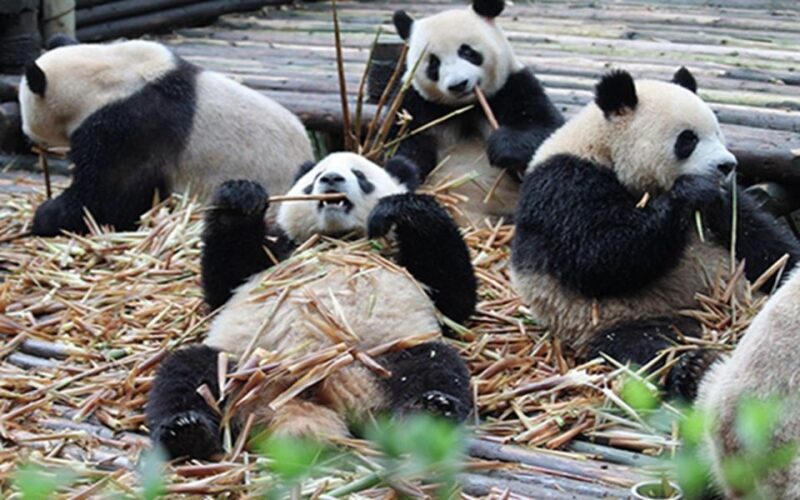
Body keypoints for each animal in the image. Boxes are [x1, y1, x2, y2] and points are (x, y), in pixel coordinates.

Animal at [146, 152, 477, 460]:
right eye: (314, 178)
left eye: (360, 175)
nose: (331, 179)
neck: (336, 238)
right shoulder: (280, 250)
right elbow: (224, 283)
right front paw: (240, 198)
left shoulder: (400, 260)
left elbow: (455, 298)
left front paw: (399, 209)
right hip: (242, 365)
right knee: (187, 372)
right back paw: (185, 429)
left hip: (386, 357)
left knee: (435, 365)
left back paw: (431, 413)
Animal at [389, 0, 563, 225]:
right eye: (434, 63)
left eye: (467, 52)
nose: (458, 84)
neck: (467, 106)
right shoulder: (413, 103)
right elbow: (404, 144)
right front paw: (404, 169)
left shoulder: (513, 87)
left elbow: (545, 129)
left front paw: (503, 146)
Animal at [510, 67, 800, 399]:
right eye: (688, 139)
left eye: (718, 132)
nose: (727, 165)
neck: (604, 146)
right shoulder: (564, 183)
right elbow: (600, 257)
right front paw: (688, 193)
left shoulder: (728, 202)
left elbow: (760, 240)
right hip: (615, 315)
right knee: (648, 344)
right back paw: (690, 367)